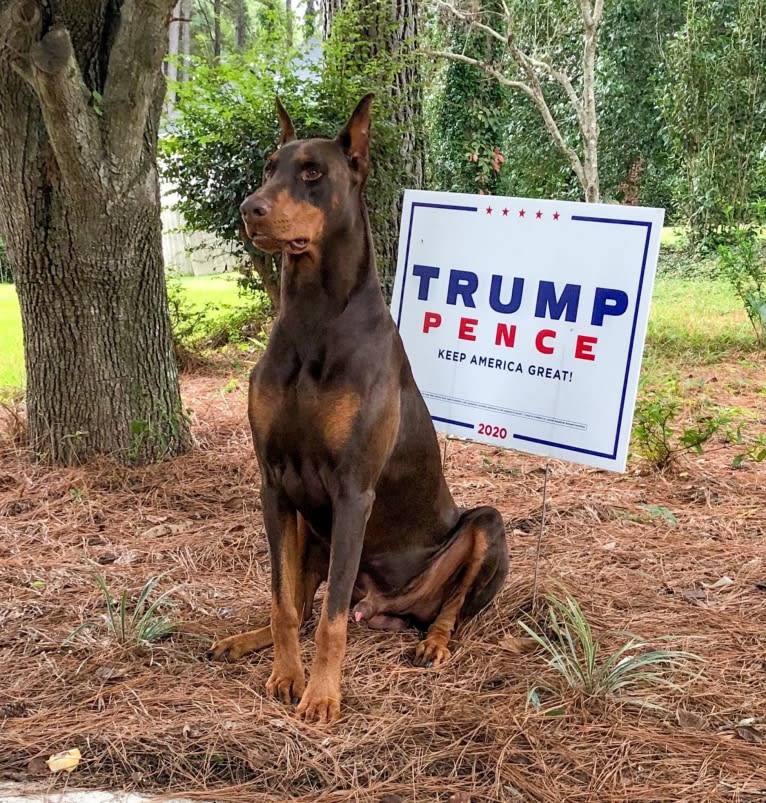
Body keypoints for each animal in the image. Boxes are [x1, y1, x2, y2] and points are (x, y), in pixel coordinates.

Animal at [210, 94, 510, 724]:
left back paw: (433, 644)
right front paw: (286, 675)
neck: (313, 316)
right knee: (302, 602)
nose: (250, 209)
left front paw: (322, 694)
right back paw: (245, 641)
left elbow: (330, 621)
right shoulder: (274, 483)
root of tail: (385, 607)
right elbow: (283, 599)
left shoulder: (353, 489)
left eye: (311, 173)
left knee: (445, 608)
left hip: (485, 528)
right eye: (269, 166)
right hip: (310, 525)